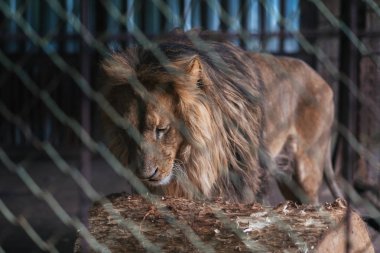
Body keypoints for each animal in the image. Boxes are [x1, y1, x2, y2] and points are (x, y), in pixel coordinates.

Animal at [100, 29, 342, 204]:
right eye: (125, 131)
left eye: (162, 129)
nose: (146, 175)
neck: (196, 156)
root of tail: (321, 79)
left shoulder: (243, 179)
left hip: (306, 170)